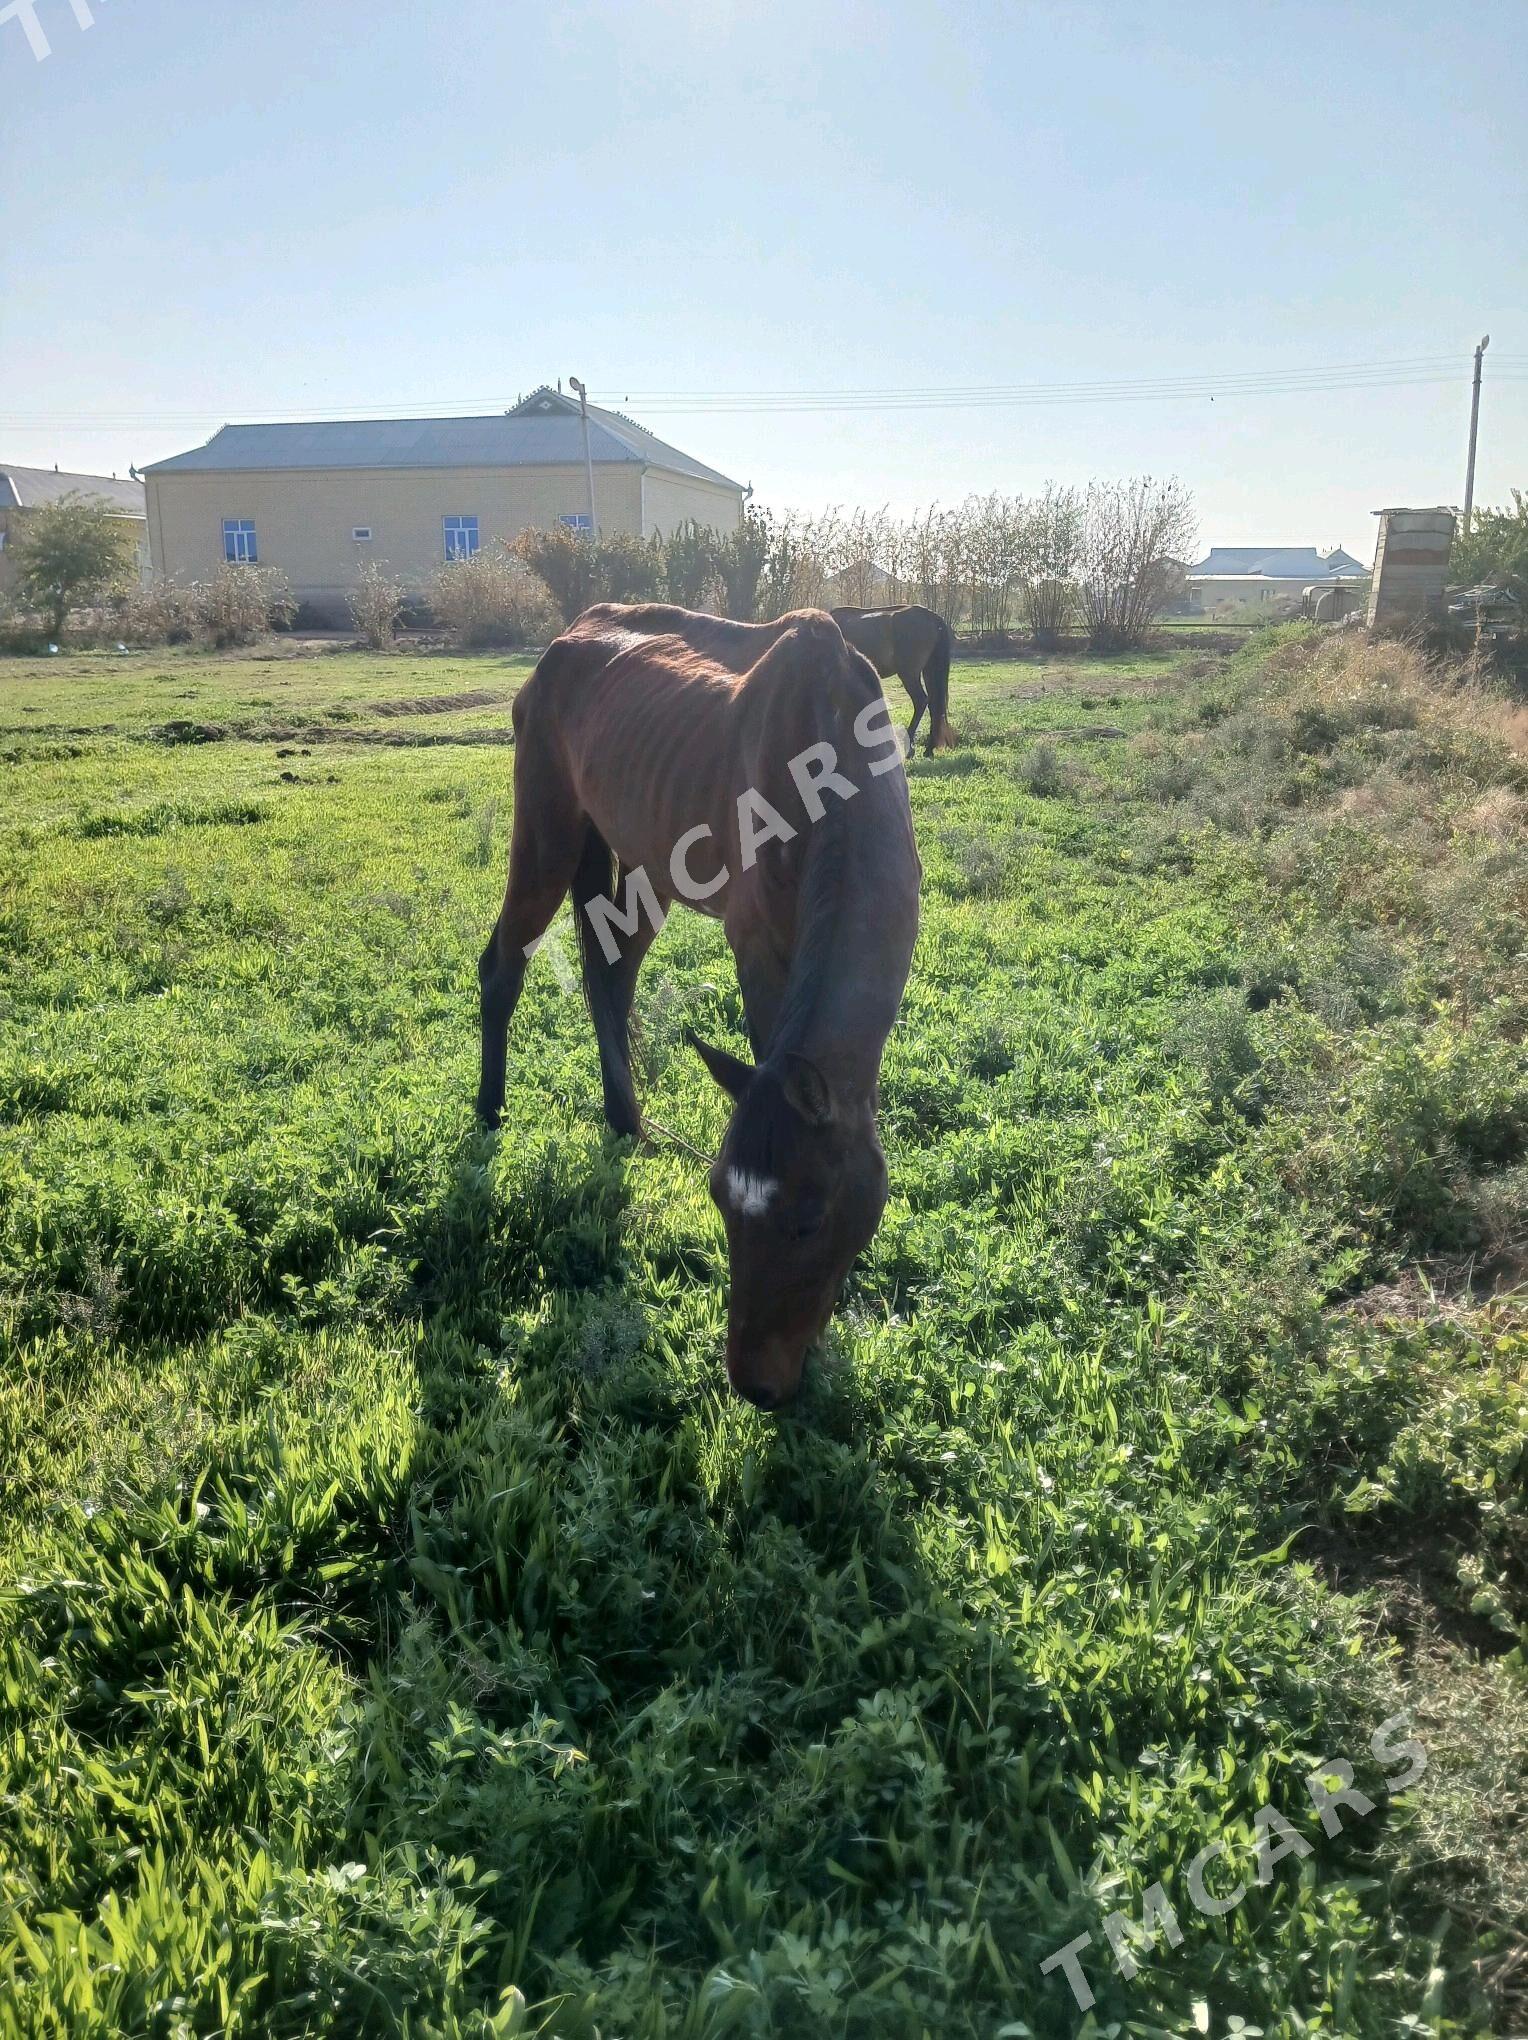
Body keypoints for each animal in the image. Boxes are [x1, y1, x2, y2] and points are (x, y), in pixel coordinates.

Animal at [477, 595, 918, 1411]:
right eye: (718, 1199)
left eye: (809, 1221)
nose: (756, 1385)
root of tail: (568, 638)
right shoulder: (758, 945)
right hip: (548, 838)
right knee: (504, 970)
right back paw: (490, 1113)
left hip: (650, 865)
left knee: (610, 976)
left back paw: (625, 1120)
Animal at [824, 612, 954, 767]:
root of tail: (933, 617)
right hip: (929, 670)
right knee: (934, 705)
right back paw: (929, 748)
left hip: (909, 674)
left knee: (921, 701)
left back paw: (909, 749)